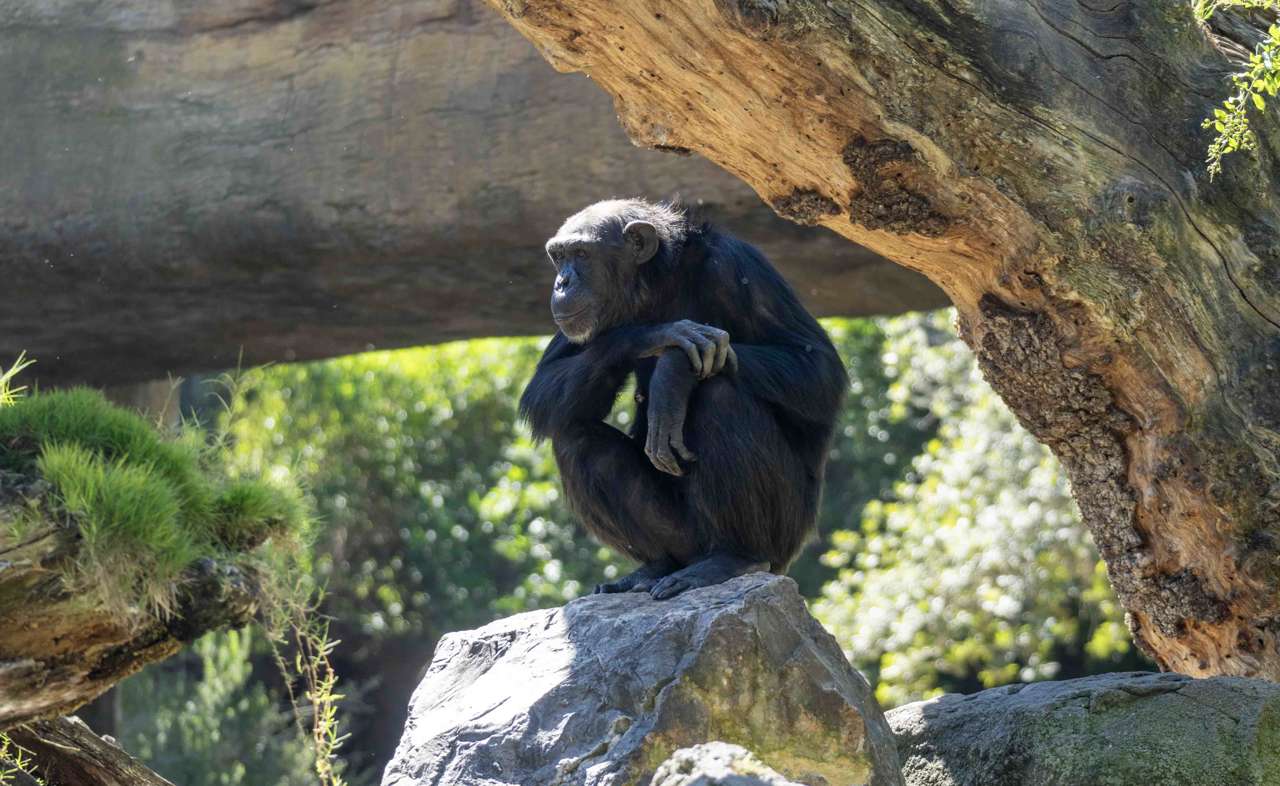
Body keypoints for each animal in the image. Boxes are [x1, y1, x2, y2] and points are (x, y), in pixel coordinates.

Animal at [514, 199, 844, 601]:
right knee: (575, 437)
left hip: (783, 537)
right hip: (684, 538)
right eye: (558, 257)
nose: (562, 282)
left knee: (721, 397)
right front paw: (657, 336)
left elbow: (817, 367)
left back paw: (733, 558)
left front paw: (674, 373)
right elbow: (542, 387)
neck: (657, 283)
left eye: (581, 254)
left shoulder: (738, 266)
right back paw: (654, 568)